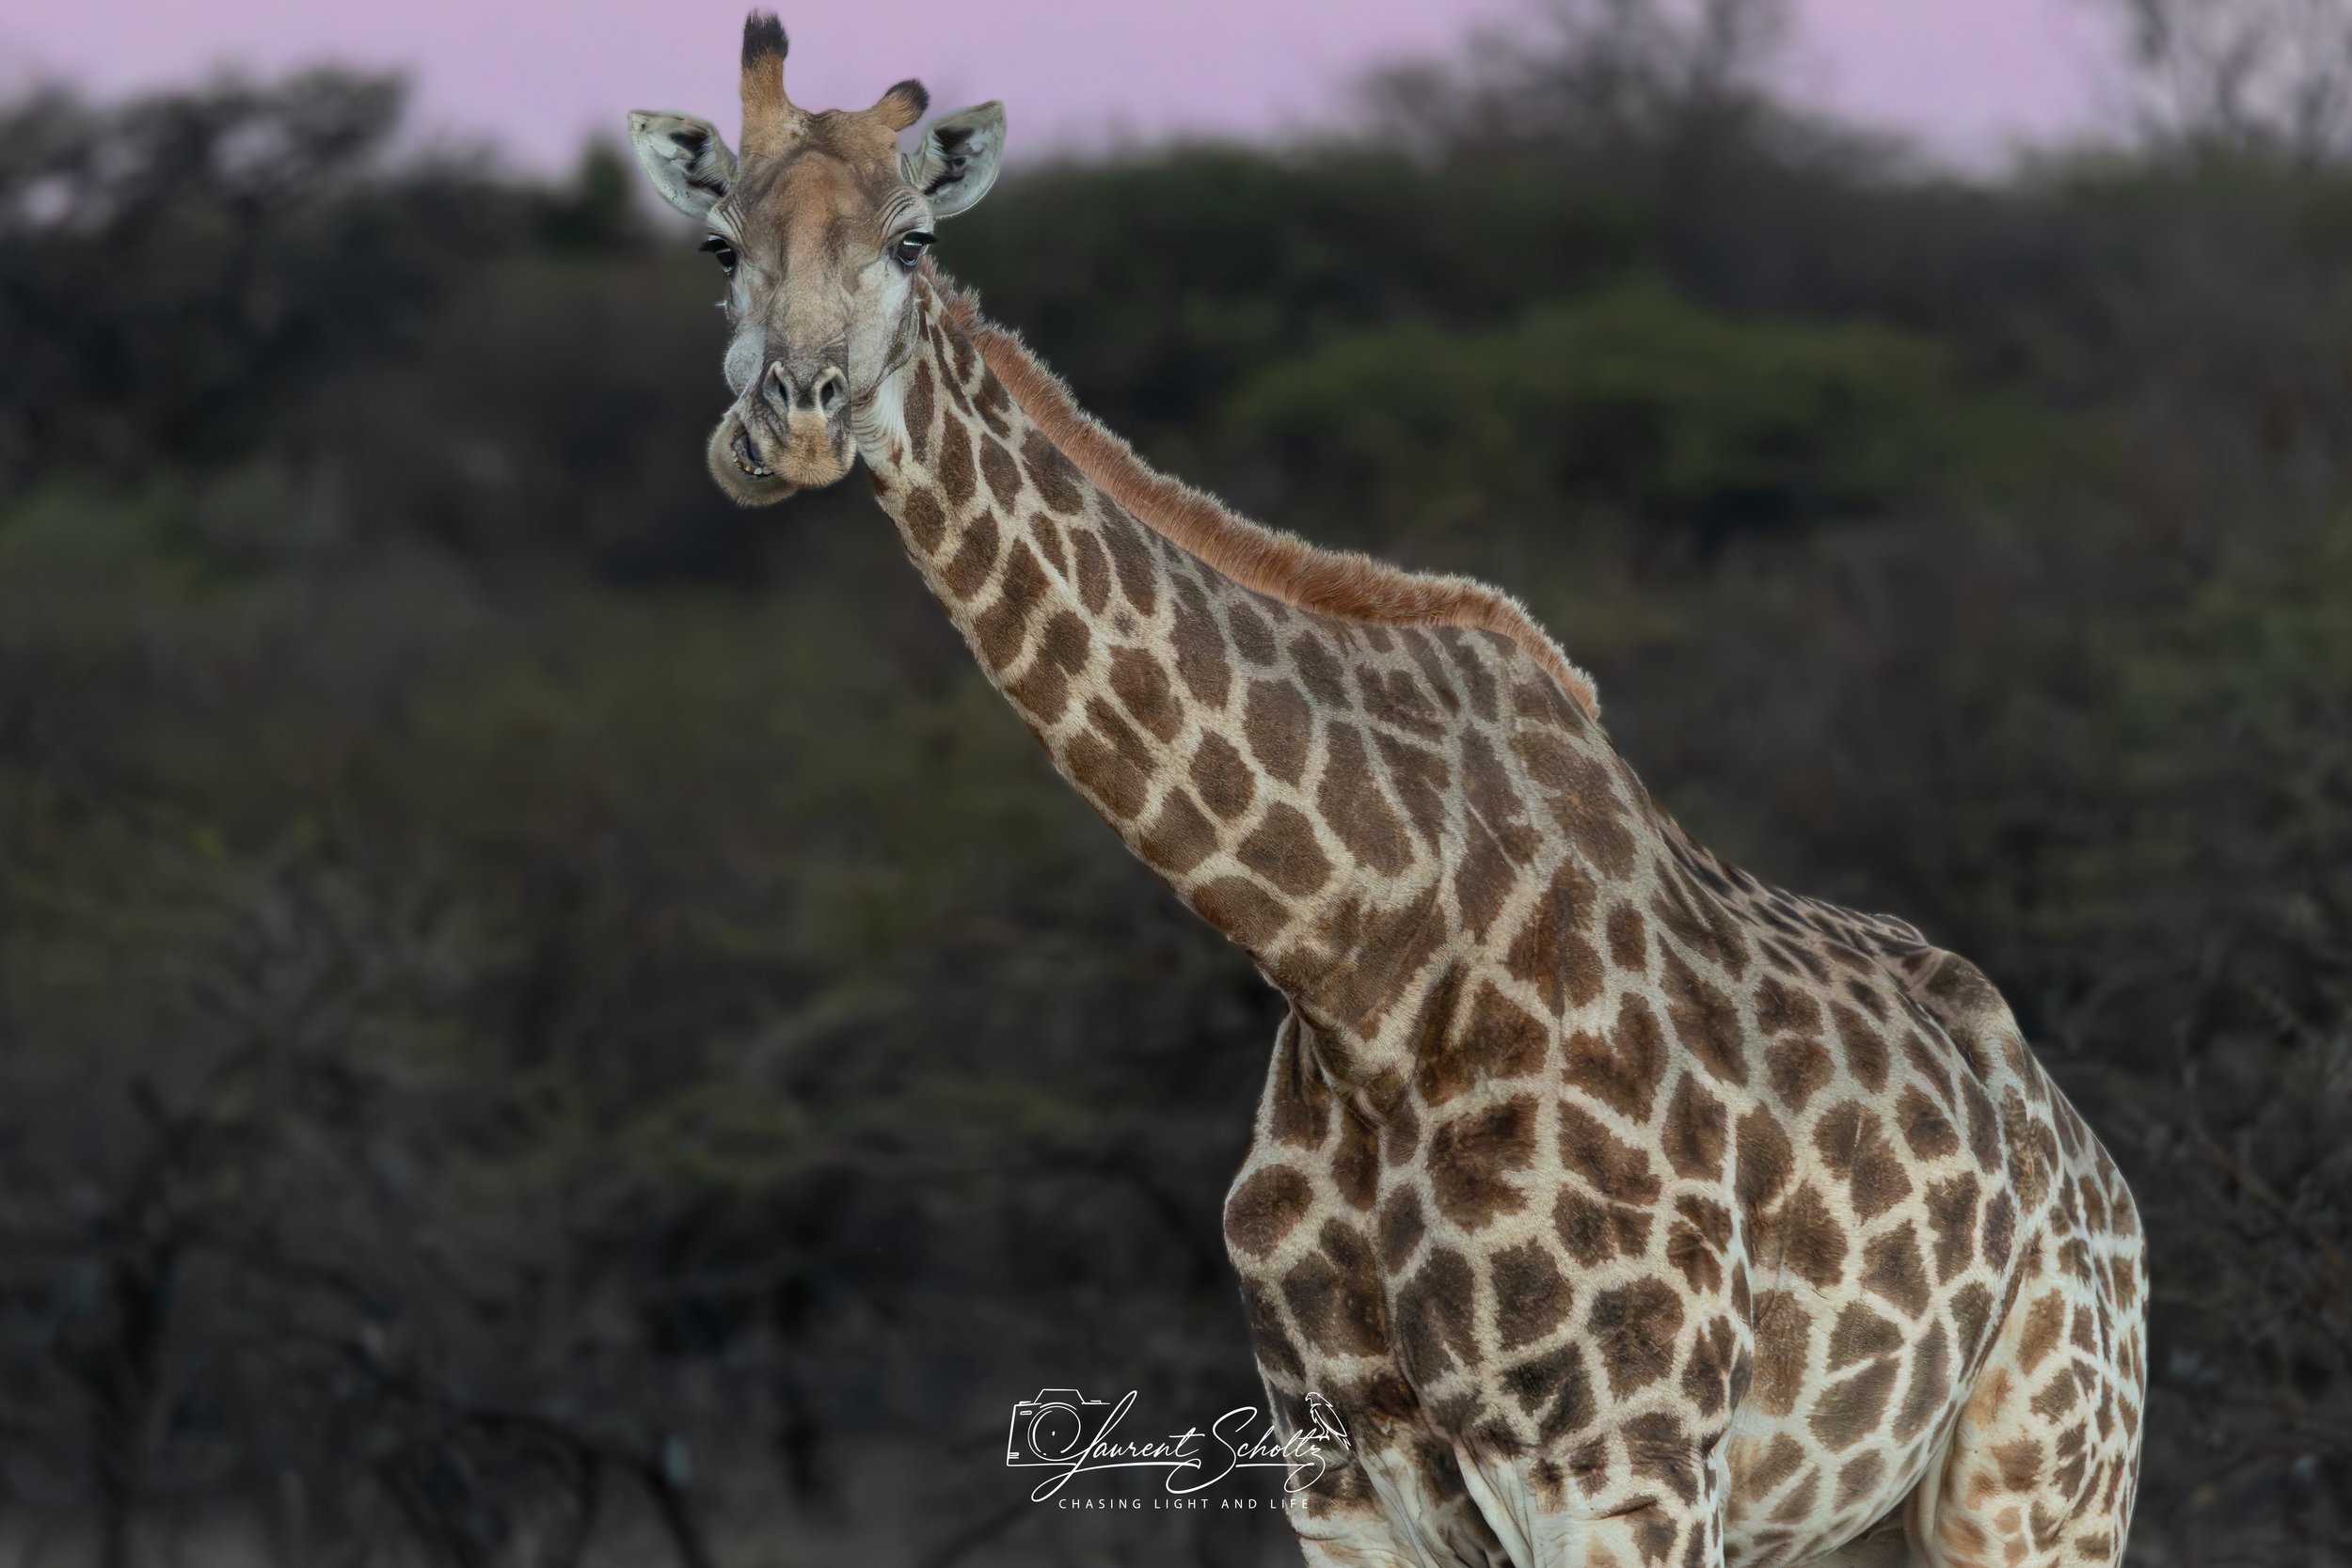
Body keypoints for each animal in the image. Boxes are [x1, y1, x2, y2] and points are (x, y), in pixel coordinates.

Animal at [624, 16, 2147, 1567]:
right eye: (717, 243)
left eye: (915, 238)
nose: (793, 427)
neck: (1357, 963)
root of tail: (2090, 1166)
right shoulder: (1340, 1478)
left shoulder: (1628, 1466)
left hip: (2042, 1479)